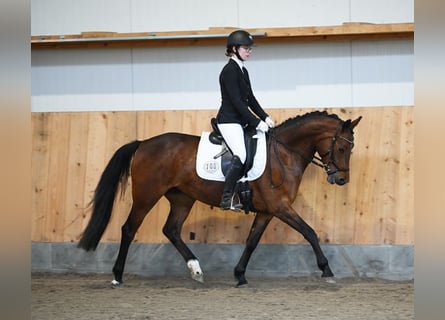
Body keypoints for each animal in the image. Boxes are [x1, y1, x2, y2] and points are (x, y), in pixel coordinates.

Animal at [77, 110, 360, 288]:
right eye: (342, 148)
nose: (341, 179)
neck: (283, 154)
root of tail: (144, 142)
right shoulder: (280, 207)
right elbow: (310, 232)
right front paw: (327, 270)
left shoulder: (267, 211)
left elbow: (252, 241)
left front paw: (240, 275)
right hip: (147, 196)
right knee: (129, 229)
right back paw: (117, 276)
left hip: (182, 199)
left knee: (171, 230)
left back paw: (196, 269)